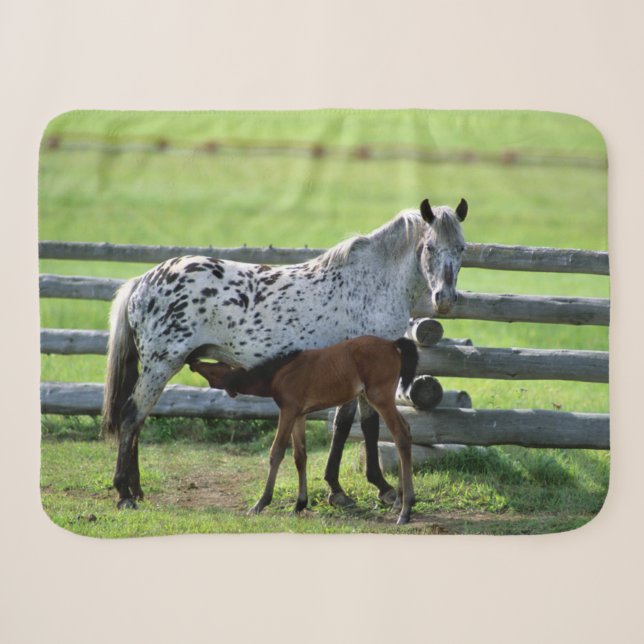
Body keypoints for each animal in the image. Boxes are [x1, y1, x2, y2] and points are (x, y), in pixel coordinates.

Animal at [191, 336, 419, 524]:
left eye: (215, 368)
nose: (193, 362)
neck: (279, 373)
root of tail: (392, 344)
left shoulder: (288, 410)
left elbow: (276, 452)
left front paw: (260, 503)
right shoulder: (299, 415)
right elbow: (300, 456)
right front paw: (299, 504)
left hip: (380, 397)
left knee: (401, 434)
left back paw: (405, 510)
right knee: (405, 430)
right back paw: (399, 502)